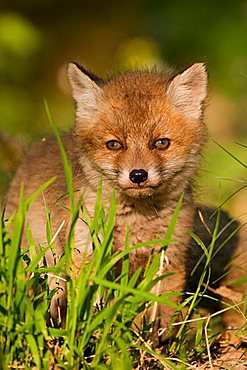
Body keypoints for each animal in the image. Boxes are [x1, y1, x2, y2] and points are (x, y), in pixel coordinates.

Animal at [6, 62, 247, 344]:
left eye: (161, 143)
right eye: (114, 144)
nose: (138, 175)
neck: (137, 223)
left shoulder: (168, 259)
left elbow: (159, 308)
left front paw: (157, 343)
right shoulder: (88, 255)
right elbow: (95, 306)